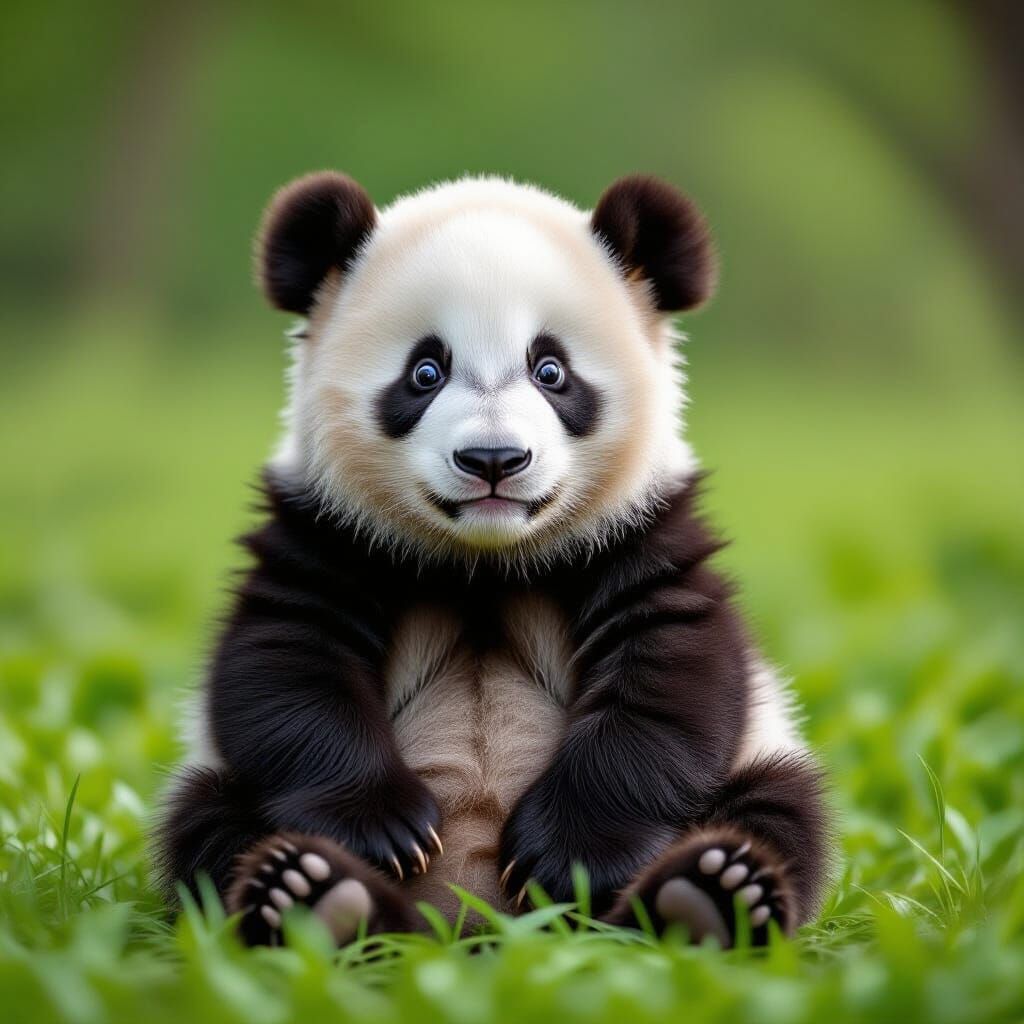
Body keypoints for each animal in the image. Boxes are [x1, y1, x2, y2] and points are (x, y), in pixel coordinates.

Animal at [154, 171, 831, 948]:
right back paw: (317, 898)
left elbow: (671, 679)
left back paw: (707, 898)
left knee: (780, 807)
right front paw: (381, 827)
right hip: (213, 783)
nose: (493, 459)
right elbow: (286, 670)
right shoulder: (330, 534)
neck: (485, 561)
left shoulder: (639, 536)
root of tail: (474, 931)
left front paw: (569, 852)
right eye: (425, 371)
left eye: (551, 370)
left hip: (761, 757)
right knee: (206, 823)